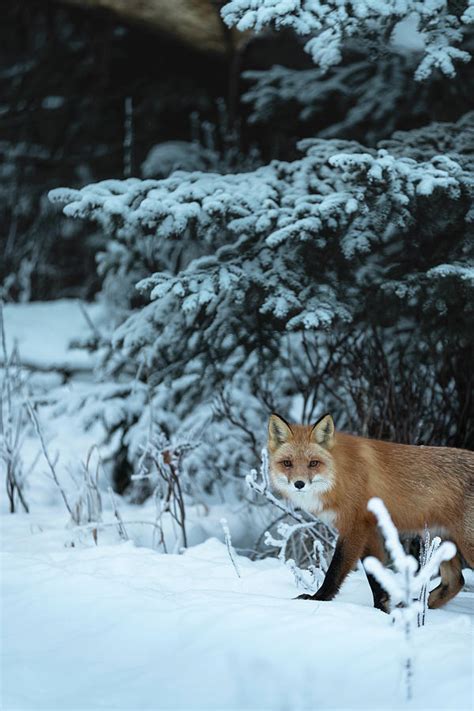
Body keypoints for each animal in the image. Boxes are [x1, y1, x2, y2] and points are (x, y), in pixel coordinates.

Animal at [268, 412, 472, 612]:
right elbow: (375, 575)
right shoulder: (370, 529)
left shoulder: (355, 526)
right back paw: (418, 607)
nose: (299, 484)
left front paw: (318, 598)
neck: (340, 476)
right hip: (440, 536)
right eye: (287, 463)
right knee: (456, 581)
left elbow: (336, 569)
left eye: (313, 463)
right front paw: (382, 608)